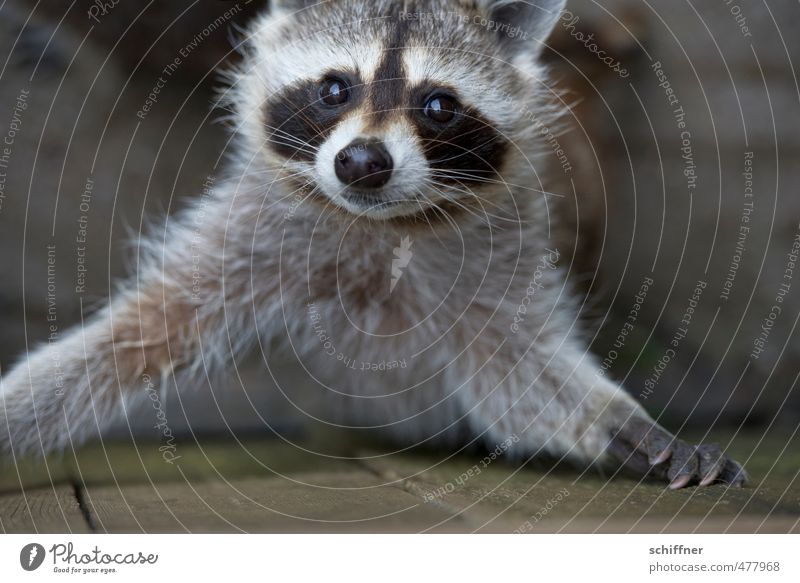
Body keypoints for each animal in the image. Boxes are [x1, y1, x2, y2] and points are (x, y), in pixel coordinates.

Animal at [0, 0, 744, 490]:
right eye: (335, 88)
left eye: (438, 105)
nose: (361, 162)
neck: (386, 225)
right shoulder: (258, 233)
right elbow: (145, 331)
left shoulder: (502, 248)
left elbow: (521, 372)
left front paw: (624, 424)